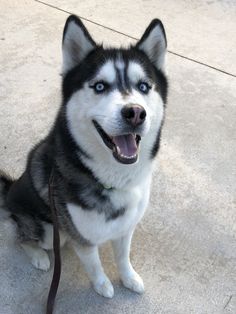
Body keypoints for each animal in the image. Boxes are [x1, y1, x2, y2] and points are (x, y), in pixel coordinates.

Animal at [0, 15, 168, 300]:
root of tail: (10, 190)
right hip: (48, 230)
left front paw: (129, 278)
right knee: (22, 238)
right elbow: (94, 264)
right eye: (100, 86)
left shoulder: (126, 228)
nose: (135, 113)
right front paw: (102, 286)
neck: (114, 179)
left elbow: (123, 257)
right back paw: (38, 256)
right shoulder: (84, 239)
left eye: (143, 86)